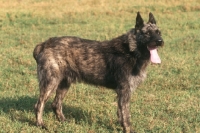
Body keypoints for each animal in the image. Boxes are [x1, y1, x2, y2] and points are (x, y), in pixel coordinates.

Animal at [33, 11, 164, 132]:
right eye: (147, 33)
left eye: (158, 32)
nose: (160, 41)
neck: (130, 50)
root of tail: (44, 44)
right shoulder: (124, 91)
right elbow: (126, 115)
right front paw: (128, 129)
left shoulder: (122, 93)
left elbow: (120, 113)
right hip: (50, 83)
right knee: (39, 105)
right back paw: (40, 124)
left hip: (64, 84)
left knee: (56, 104)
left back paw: (64, 121)